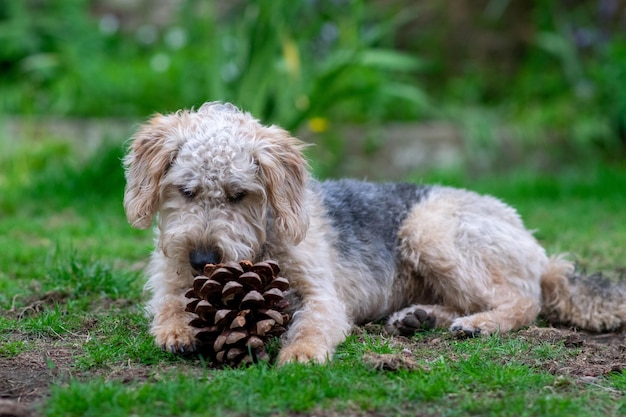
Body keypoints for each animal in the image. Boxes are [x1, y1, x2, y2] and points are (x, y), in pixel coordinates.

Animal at [122, 101, 624, 364]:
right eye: (186, 190)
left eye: (238, 194)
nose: (202, 261)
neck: (265, 239)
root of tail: (536, 249)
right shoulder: (169, 279)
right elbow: (168, 304)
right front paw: (176, 331)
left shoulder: (323, 297)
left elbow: (312, 327)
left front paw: (300, 355)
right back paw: (420, 318)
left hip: (429, 231)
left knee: (524, 301)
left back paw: (478, 325)